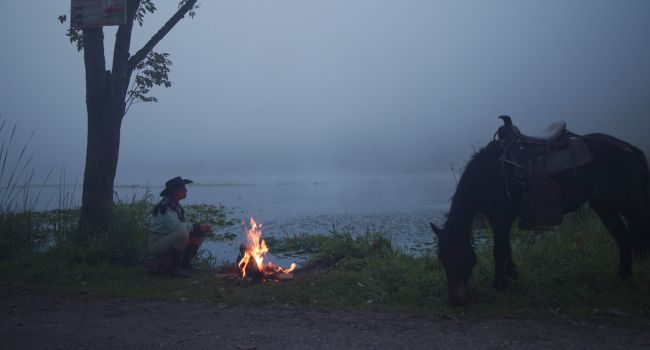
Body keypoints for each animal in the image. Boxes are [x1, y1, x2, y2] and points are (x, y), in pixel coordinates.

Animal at [428, 123, 644, 306]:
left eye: (459, 255)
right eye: (442, 258)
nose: (456, 300)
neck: (490, 174)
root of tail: (628, 148)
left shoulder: (502, 218)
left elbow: (499, 251)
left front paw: (499, 286)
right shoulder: (495, 219)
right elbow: (506, 249)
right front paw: (512, 278)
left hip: (627, 203)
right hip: (603, 204)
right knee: (623, 239)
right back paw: (623, 279)